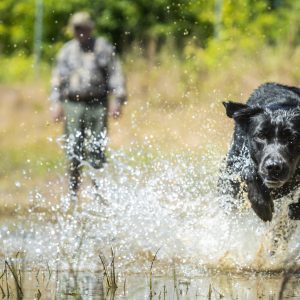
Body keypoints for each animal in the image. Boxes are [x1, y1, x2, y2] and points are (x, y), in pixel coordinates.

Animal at [220, 83, 300, 221]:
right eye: (261, 136)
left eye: (292, 138)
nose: (273, 167)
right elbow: (248, 170)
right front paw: (261, 203)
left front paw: (294, 209)